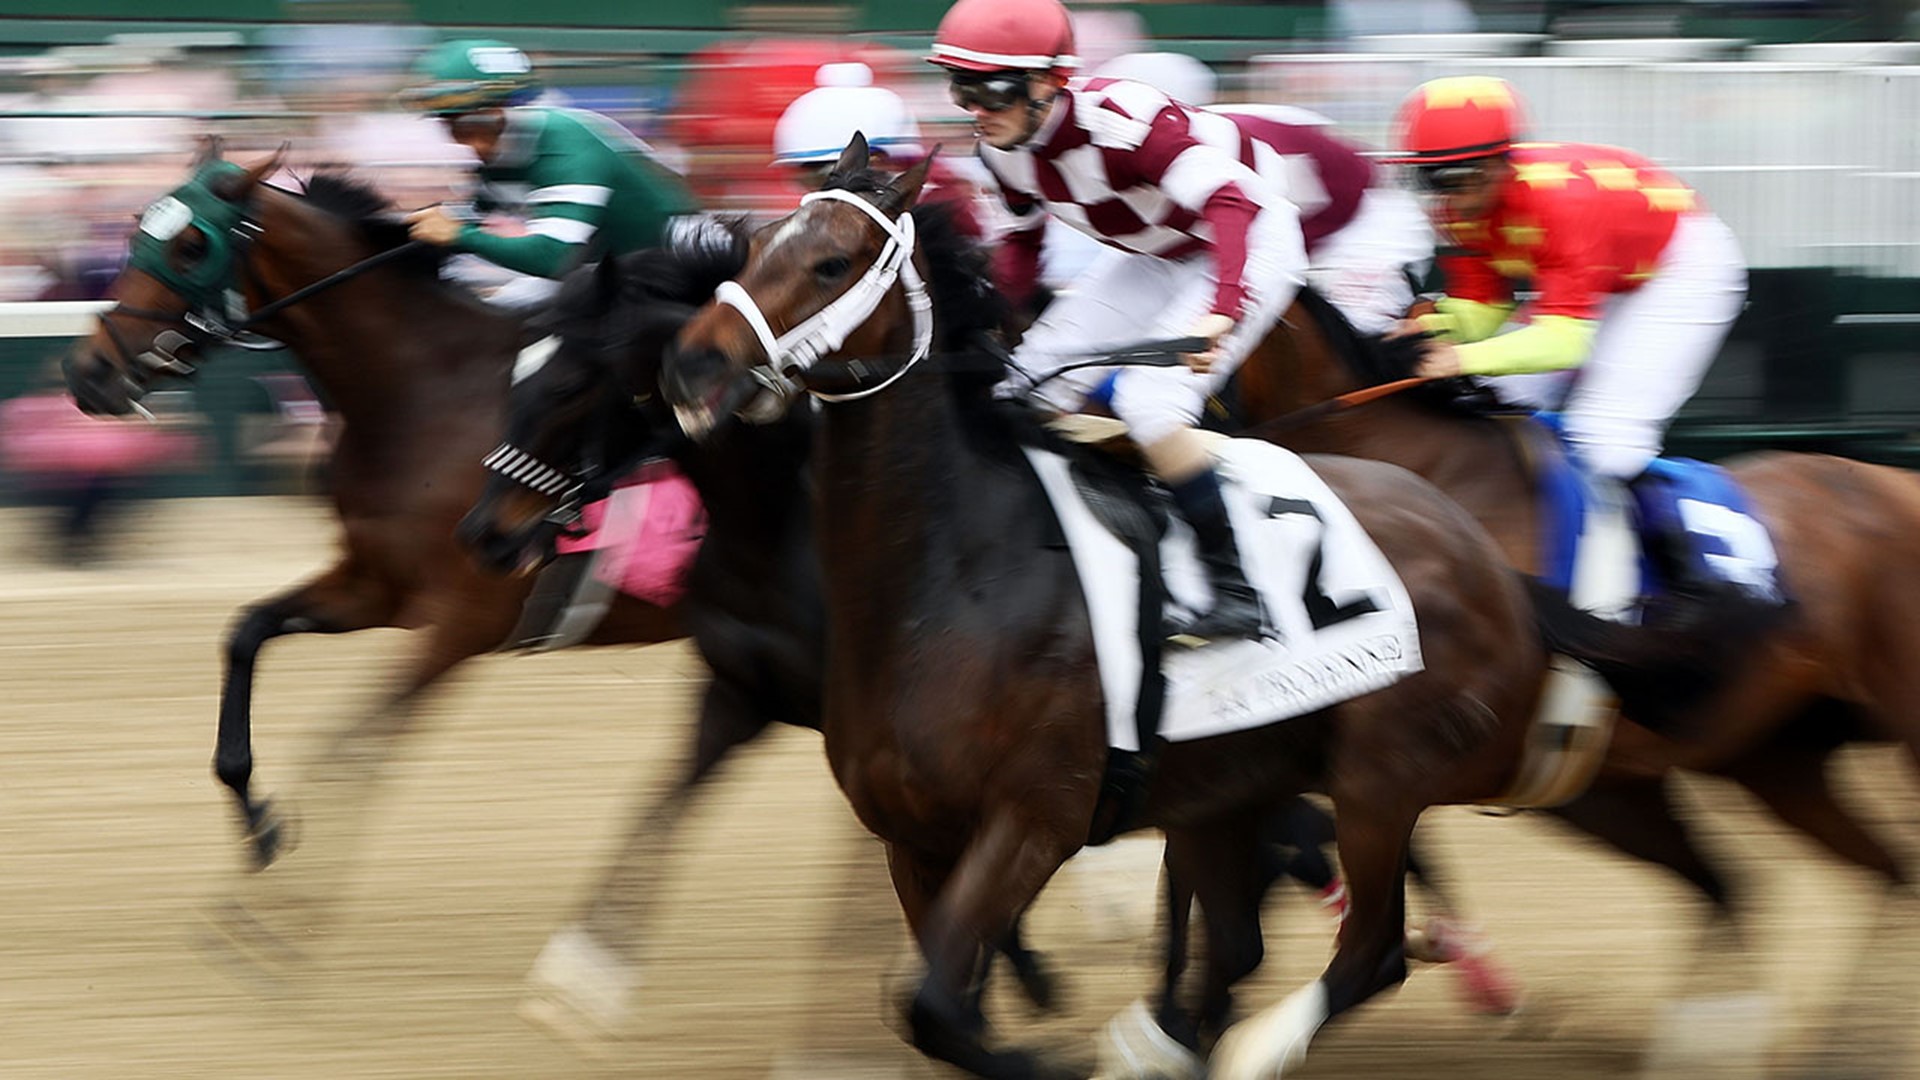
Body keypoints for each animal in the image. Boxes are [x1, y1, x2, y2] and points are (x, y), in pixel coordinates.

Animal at [656, 136, 1712, 1076]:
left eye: (831, 262)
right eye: (752, 245)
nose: (691, 367)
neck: (952, 579)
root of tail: (1486, 558)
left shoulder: (1036, 818)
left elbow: (941, 1010)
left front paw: (1068, 1054)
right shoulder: (914, 841)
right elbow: (940, 1005)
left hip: (1383, 780)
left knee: (1372, 947)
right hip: (1235, 790)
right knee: (1252, 937)